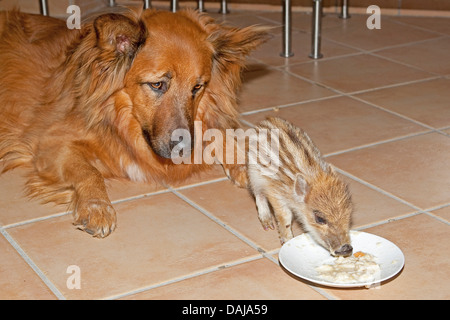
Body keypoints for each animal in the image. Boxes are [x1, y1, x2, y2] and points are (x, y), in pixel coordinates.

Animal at [0, 8, 268, 236]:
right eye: (157, 84)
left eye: (197, 87)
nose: (185, 149)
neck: (121, 119)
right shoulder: (50, 143)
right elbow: (90, 172)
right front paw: (97, 206)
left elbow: (224, 136)